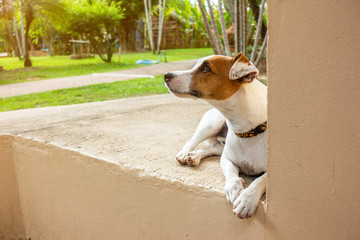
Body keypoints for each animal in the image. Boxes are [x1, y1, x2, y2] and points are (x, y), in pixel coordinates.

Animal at [164, 53, 268, 218]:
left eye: (206, 68)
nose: (166, 75)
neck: (248, 130)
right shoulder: (227, 159)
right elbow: (230, 172)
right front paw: (233, 187)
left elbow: (260, 180)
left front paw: (247, 199)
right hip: (211, 124)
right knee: (192, 141)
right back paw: (185, 153)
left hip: (219, 142)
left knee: (210, 148)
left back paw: (194, 157)